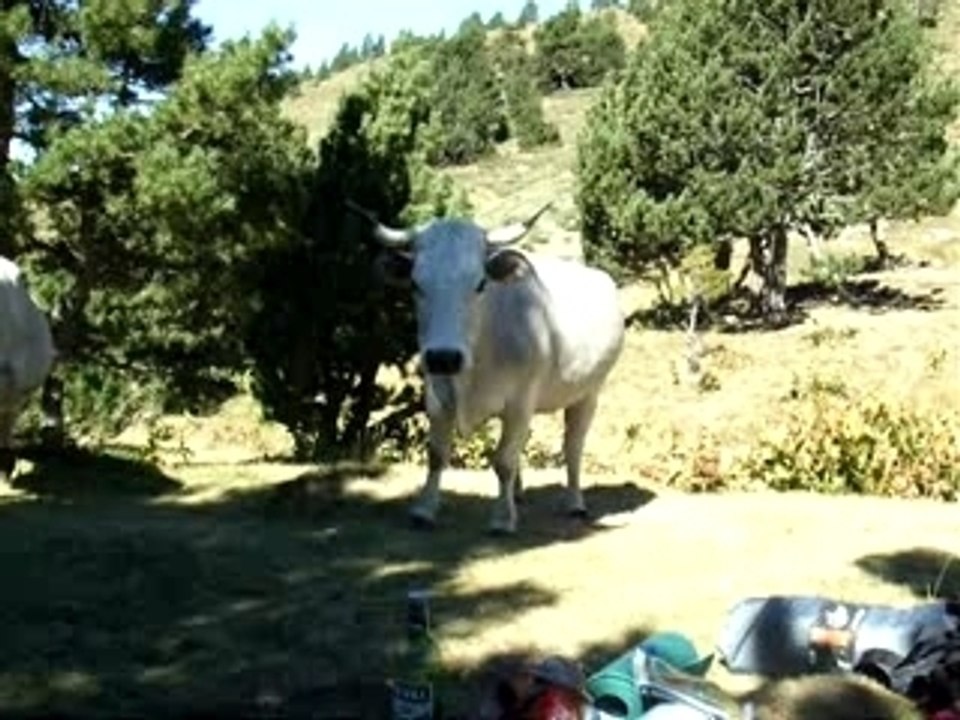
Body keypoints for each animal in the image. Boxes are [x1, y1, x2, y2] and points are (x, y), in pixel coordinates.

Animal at [348, 201, 625, 534]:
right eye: (415, 284)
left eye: (480, 283)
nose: (444, 357)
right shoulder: (437, 396)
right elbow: (437, 455)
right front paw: (424, 509)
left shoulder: (520, 402)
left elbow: (503, 461)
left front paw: (502, 518)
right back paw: (518, 494)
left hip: (589, 393)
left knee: (572, 447)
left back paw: (574, 503)